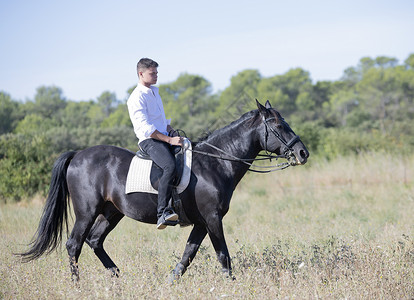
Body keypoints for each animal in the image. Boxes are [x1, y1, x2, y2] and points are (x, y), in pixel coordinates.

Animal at [20, 101, 308, 282]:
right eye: (278, 126)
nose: (302, 153)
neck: (215, 163)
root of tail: (78, 155)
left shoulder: (202, 222)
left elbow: (188, 255)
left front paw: (171, 282)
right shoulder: (213, 218)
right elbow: (223, 255)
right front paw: (233, 285)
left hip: (111, 212)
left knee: (94, 241)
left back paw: (118, 277)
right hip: (86, 211)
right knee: (74, 244)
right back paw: (77, 285)